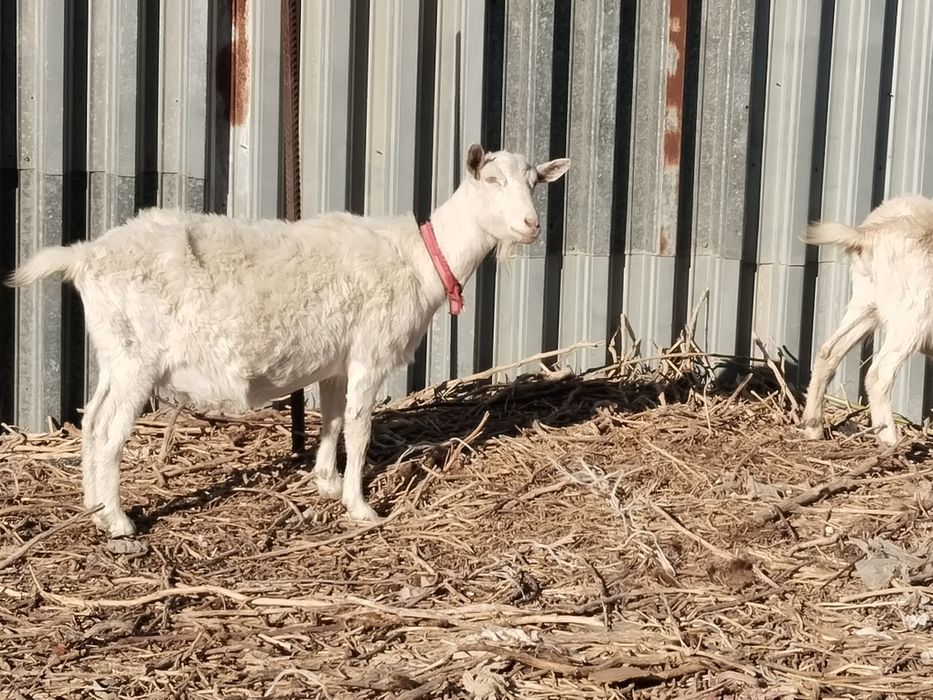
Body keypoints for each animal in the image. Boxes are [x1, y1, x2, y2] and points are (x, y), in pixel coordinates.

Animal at [5, 144, 571, 538]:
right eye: (491, 180)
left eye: (535, 183)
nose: (531, 225)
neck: (418, 259)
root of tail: (84, 256)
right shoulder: (370, 354)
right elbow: (359, 429)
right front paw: (361, 507)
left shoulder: (339, 361)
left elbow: (334, 419)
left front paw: (325, 481)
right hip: (136, 357)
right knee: (107, 431)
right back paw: (118, 522)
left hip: (114, 351)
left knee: (91, 418)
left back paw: (92, 506)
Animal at [801, 194, 933, 445]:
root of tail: (869, 234)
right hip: (913, 315)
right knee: (878, 374)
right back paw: (889, 441)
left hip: (866, 303)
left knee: (828, 352)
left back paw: (812, 427)